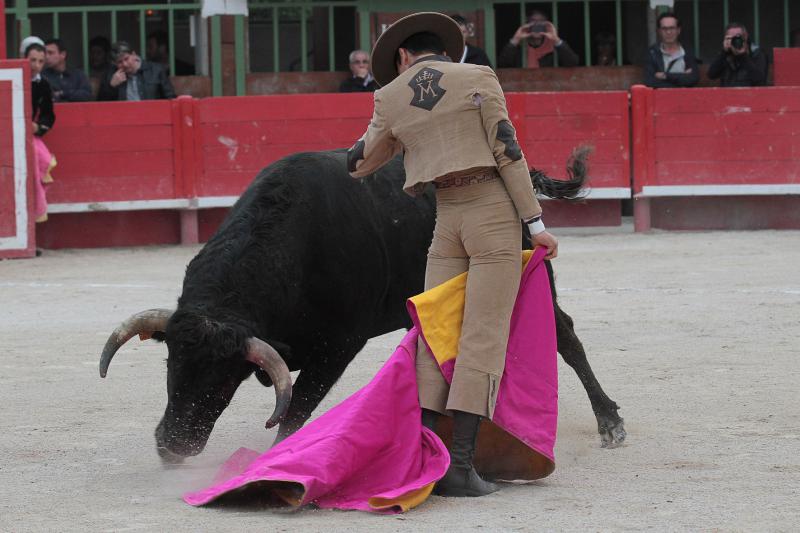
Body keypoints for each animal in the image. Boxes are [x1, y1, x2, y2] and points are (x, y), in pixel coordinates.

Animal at [99, 148, 625, 464]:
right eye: (172, 363)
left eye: (225, 378)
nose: (172, 445)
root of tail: (514, 177)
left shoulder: (338, 345)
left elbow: (296, 410)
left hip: (520, 275)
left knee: (565, 336)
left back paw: (610, 422)